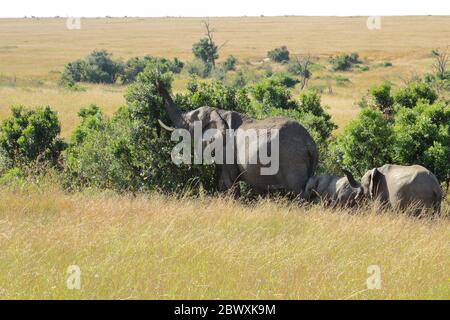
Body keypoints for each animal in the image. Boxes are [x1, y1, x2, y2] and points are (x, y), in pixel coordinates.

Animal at [156, 82, 318, 196]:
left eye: (190, 120)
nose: (158, 81)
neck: (218, 112)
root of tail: (310, 143)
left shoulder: (226, 151)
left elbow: (228, 182)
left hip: (292, 159)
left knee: (298, 191)